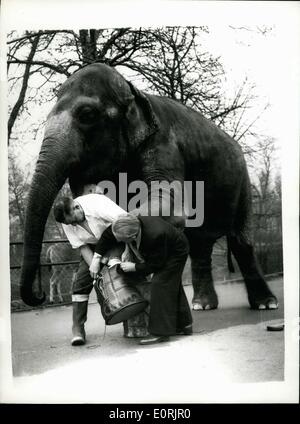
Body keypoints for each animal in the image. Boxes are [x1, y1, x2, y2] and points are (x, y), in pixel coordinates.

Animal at [19, 64, 278, 314]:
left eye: (87, 115)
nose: (39, 296)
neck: (135, 93)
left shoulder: (164, 145)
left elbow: (168, 202)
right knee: (199, 245)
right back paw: (202, 305)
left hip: (242, 180)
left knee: (241, 241)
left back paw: (265, 304)